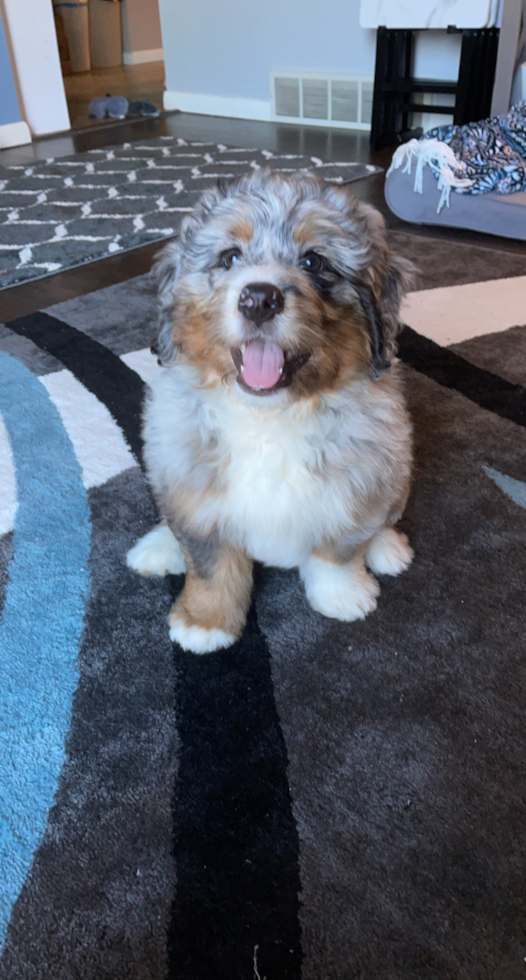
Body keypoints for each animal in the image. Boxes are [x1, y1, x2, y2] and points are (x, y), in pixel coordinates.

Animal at [127, 170, 416, 652]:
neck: (269, 416)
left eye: (314, 262)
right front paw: (205, 622)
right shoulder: (194, 489)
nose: (259, 298)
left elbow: (338, 549)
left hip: (398, 471)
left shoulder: (359, 480)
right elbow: (210, 564)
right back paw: (159, 547)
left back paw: (387, 547)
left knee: (385, 515)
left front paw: (343, 595)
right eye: (229, 257)